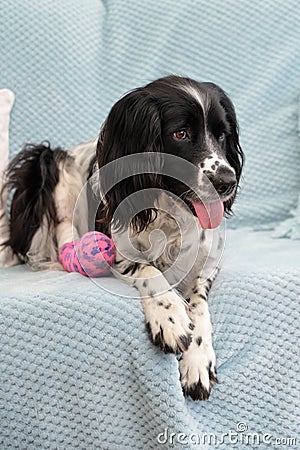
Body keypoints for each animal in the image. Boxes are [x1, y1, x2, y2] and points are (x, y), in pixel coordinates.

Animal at [0, 76, 244, 400]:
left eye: (221, 135)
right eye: (181, 133)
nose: (228, 182)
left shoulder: (205, 264)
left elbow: (200, 304)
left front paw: (198, 360)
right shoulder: (117, 251)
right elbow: (149, 270)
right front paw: (170, 316)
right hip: (50, 163)